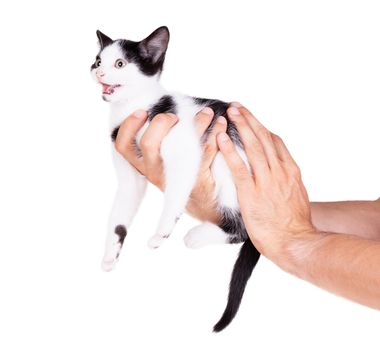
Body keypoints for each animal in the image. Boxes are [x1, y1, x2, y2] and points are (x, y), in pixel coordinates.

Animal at [90, 26, 262, 330]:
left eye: (120, 64)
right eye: (98, 60)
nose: (99, 72)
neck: (134, 107)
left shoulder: (184, 153)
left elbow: (175, 192)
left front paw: (162, 231)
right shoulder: (129, 176)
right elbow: (119, 215)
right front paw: (111, 252)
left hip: (228, 164)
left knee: (242, 229)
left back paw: (196, 236)